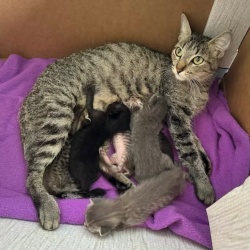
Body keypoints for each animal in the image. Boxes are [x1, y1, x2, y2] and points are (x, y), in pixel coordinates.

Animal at [19, 13, 230, 229]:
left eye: (197, 59)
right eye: (178, 52)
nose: (178, 68)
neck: (197, 87)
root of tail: (29, 97)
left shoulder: (183, 118)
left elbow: (196, 141)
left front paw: (205, 162)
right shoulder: (176, 117)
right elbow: (189, 151)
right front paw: (204, 184)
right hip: (56, 119)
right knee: (31, 176)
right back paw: (48, 207)